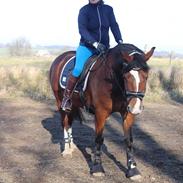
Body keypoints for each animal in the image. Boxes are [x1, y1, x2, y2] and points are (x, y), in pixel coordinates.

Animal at [49, 43, 155, 180]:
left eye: (146, 76)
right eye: (126, 77)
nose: (135, 107)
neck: (113, 81)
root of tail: (60, 57)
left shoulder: (127, 113)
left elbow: (128, 140)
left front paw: (132, 169)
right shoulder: (100, 113)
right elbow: (99, 139)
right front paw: (97, 168)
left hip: (73, 105)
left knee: (70, 122)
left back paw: (71, 146)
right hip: (60, 102)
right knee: (65, 123)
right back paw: (67, 150)